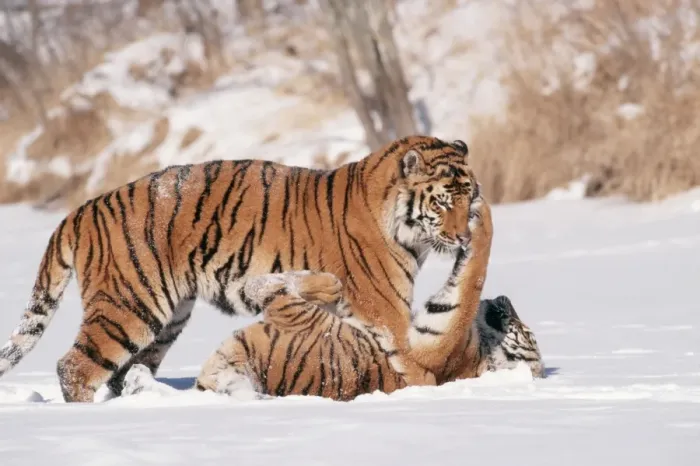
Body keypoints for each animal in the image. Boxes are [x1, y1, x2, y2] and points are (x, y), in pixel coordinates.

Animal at [0, 135, 481, 403]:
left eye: (470, 196)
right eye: (443, 202)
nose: (464, 238)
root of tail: (82, 208)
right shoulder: (385, 310)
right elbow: (413, 361)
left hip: (168, 319)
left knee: (123, 374)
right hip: (129, 305)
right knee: (75, 367)